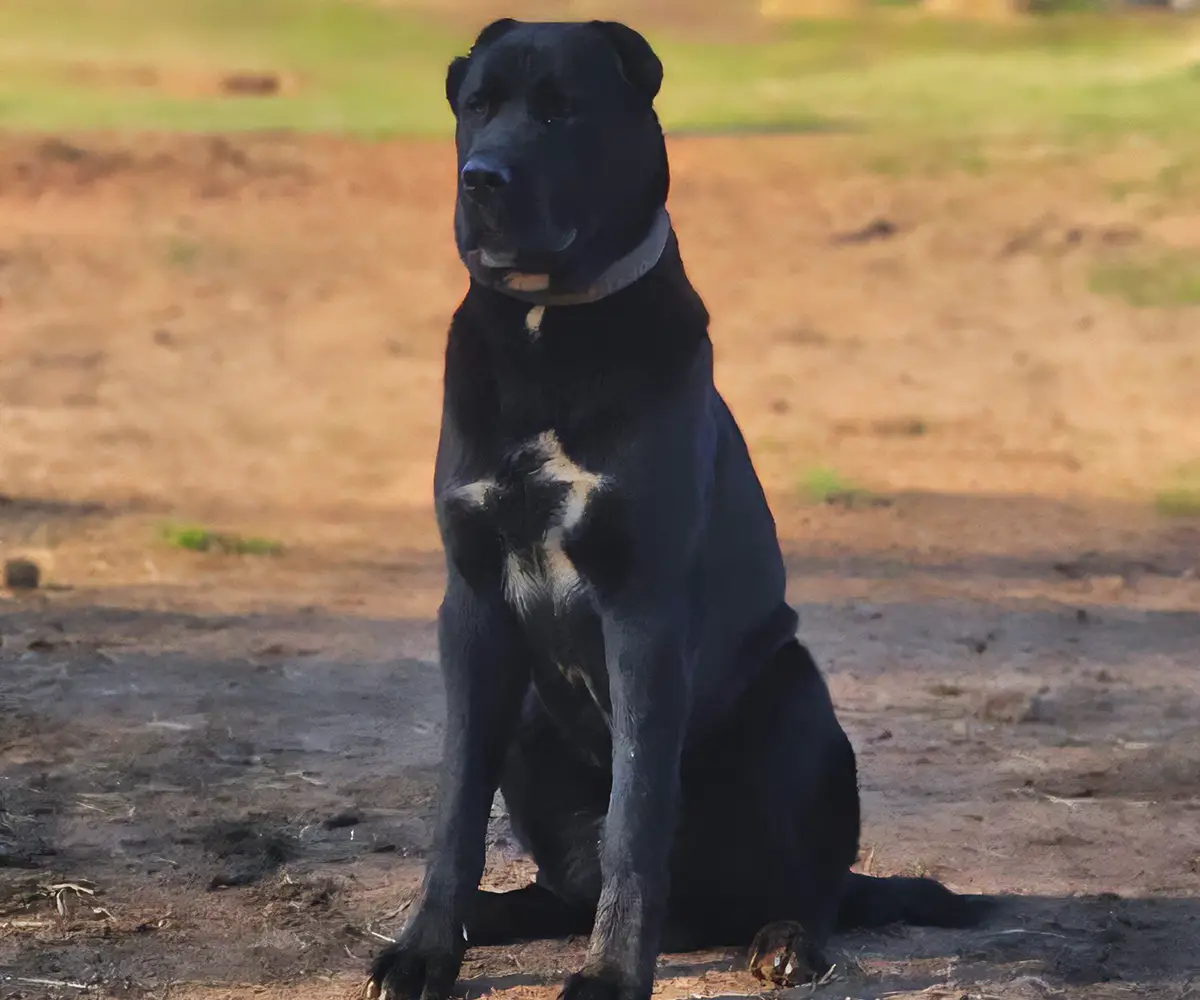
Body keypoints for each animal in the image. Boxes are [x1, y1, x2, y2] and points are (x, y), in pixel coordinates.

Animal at [366, 19, 993, 1000]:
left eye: (560, 111)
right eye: (477, 106)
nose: (481, 179)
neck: (550, 328)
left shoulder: (645, 615)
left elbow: (636, 818)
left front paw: (611, 974)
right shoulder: (471, 610)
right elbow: (454, 808)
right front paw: (427, 947)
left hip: (794, 707)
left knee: (810, 885)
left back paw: (786, 942)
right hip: (531, 721)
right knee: (561, 885)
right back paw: (494, 915)